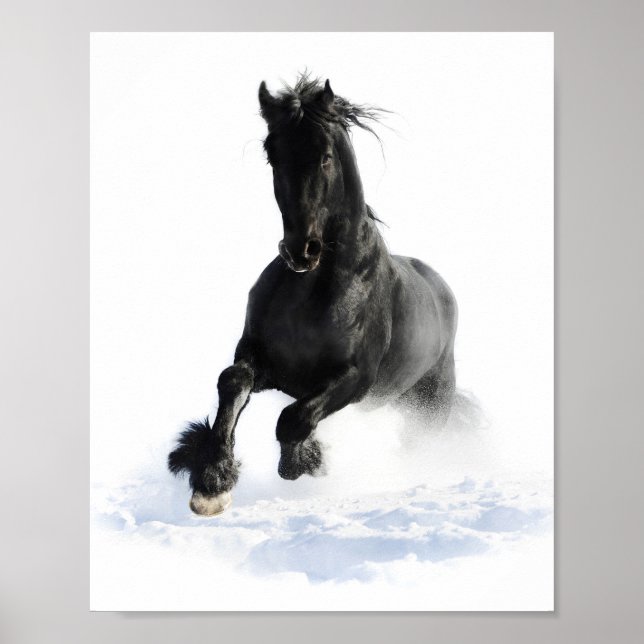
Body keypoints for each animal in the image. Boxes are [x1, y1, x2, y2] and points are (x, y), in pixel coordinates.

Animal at [168, 75, 458, 516]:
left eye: (325, 156)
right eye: (272, 154)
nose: (301, 250)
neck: (312, 292)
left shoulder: (354, 378)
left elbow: (293, 419)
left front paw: (305, 461)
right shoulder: (262, 359)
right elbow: (232, 381)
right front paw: (211, 482)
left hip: (429, 407)